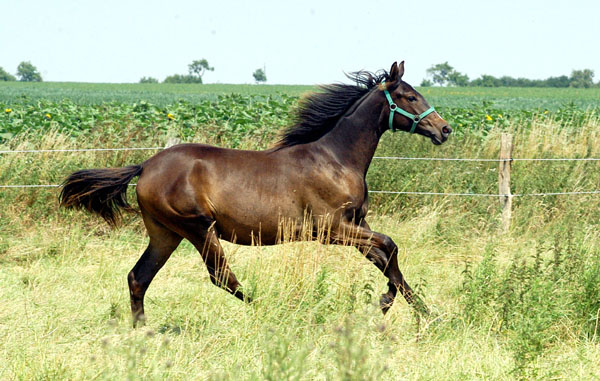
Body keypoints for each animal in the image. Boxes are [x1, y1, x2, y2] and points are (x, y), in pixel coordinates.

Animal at [59, 60, 450, 326]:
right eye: (410, 96)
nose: (444, 129)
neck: (335, 159)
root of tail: (146, 166)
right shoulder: (332, 229)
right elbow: (390, 246)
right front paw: (385, 302)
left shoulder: (357, 226)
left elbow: (388, 261)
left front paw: (427, 314)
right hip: (197, 228)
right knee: (221, 277)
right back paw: (272, 312)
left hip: (164, 233)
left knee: (139, 277)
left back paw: (142, 330)